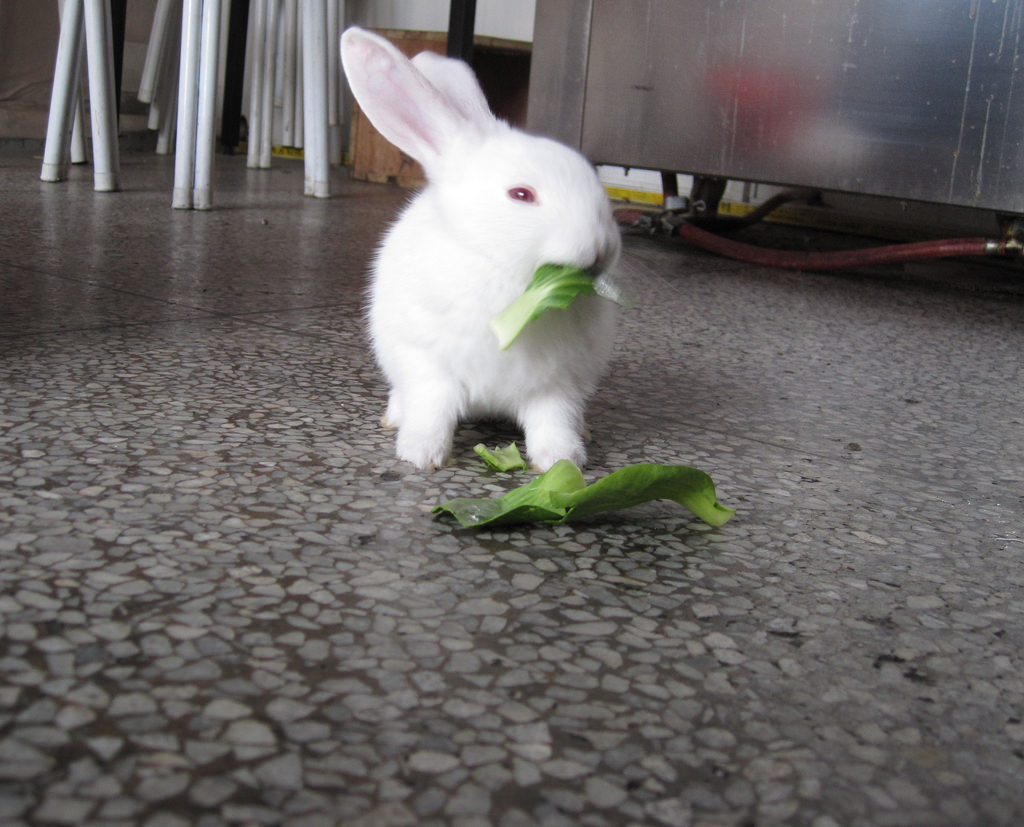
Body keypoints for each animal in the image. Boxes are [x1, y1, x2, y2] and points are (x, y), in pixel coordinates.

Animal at [339, 27, 618, 470]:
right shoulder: (430, 367)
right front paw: (421, 454)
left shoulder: (556, 386)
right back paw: (395, 417)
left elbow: (553, 421)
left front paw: (562, 461)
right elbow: (433, 409)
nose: (599, 246)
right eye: (520, 194)